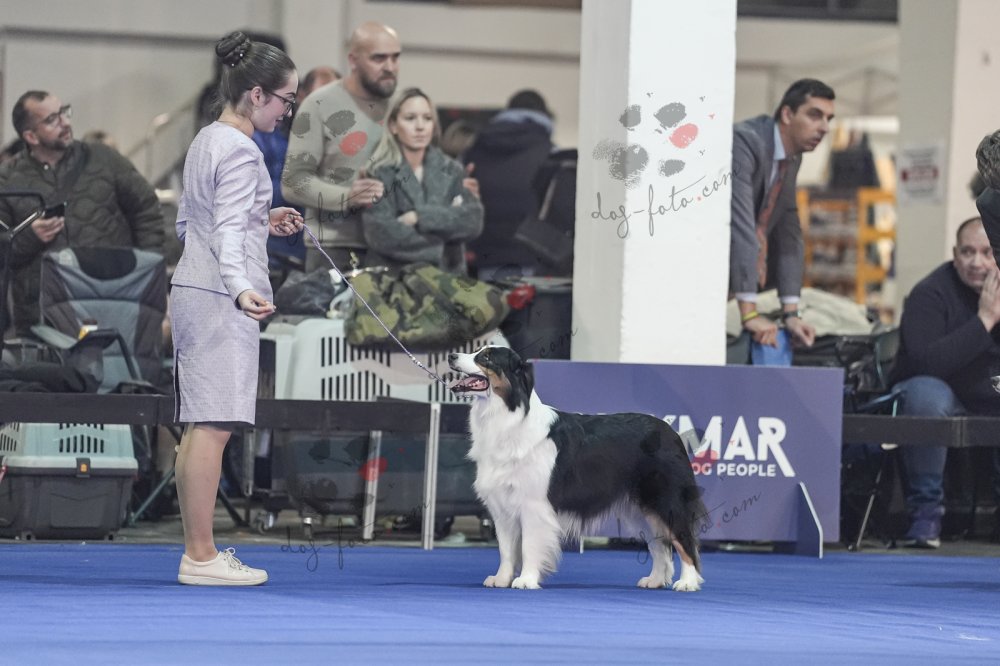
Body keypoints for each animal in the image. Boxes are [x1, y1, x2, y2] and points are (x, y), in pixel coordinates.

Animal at [448, 346, 705, 591]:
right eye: (477, 351)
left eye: (486, 357)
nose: (451, 356)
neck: (508, 415)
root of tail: (672, 432)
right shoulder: (502, 507)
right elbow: (506, 550)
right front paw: (501, 579)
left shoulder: (533, 504)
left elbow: (529, 545)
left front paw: (526, 580)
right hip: (642, 509)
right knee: (660, 545)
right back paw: (655, 580)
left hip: (667, 500)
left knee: (684, 540)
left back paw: (688, 582)